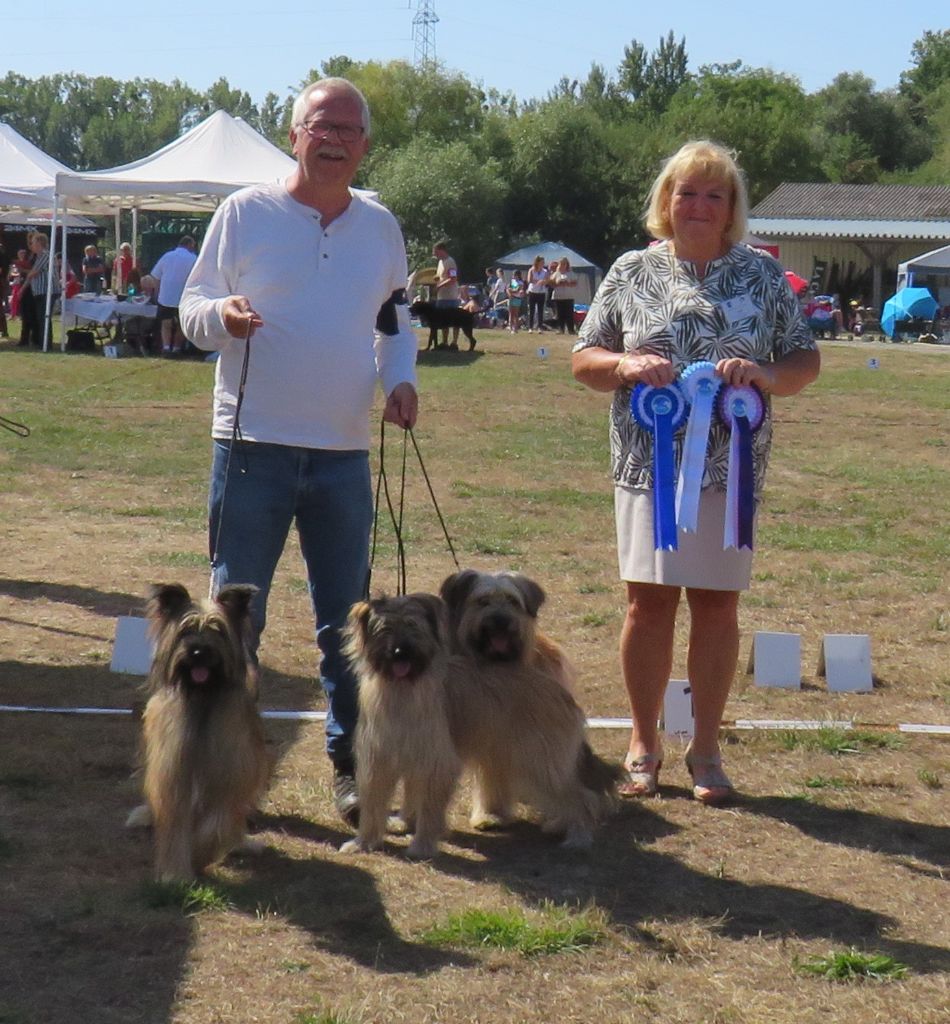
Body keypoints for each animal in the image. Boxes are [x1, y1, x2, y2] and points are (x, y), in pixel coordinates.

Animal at [341, 593, 460, 856]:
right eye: (385, 628)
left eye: (412, 625)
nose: (399, 652)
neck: (401, 688)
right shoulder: (378, 757)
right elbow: (373, 801)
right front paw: (364, 842)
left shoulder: (433, 761)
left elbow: (429, 805)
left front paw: (422, 845)